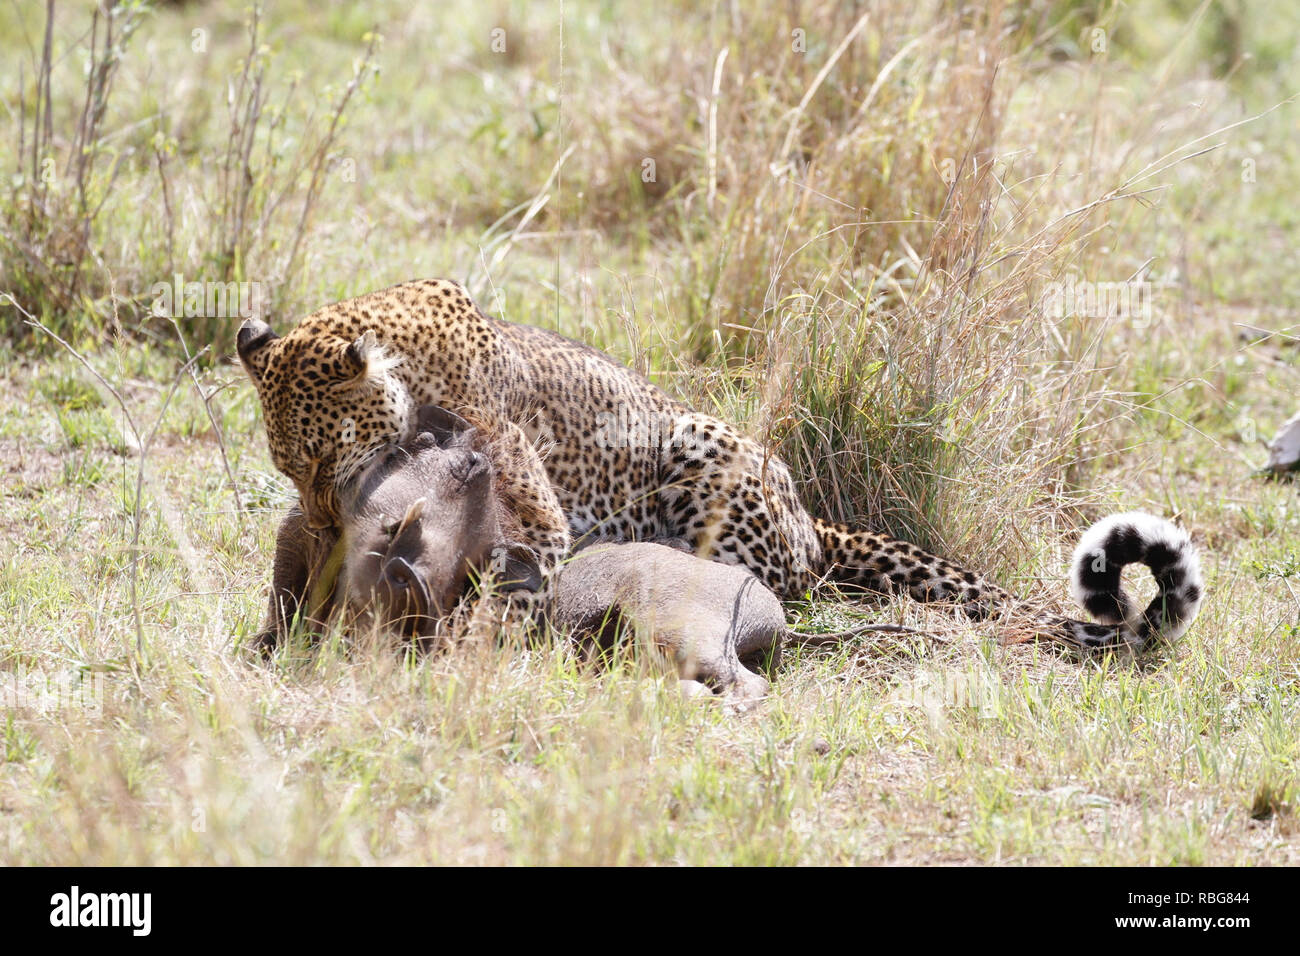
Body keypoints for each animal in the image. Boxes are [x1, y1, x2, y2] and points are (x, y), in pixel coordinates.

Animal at [239, 277, 1201, 650]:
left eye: (320, 459)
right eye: (287, 469)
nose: (321, 516)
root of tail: (814, 517)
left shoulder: (533, 507)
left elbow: (516, 574)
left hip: (702, 442)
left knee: (783, 585)